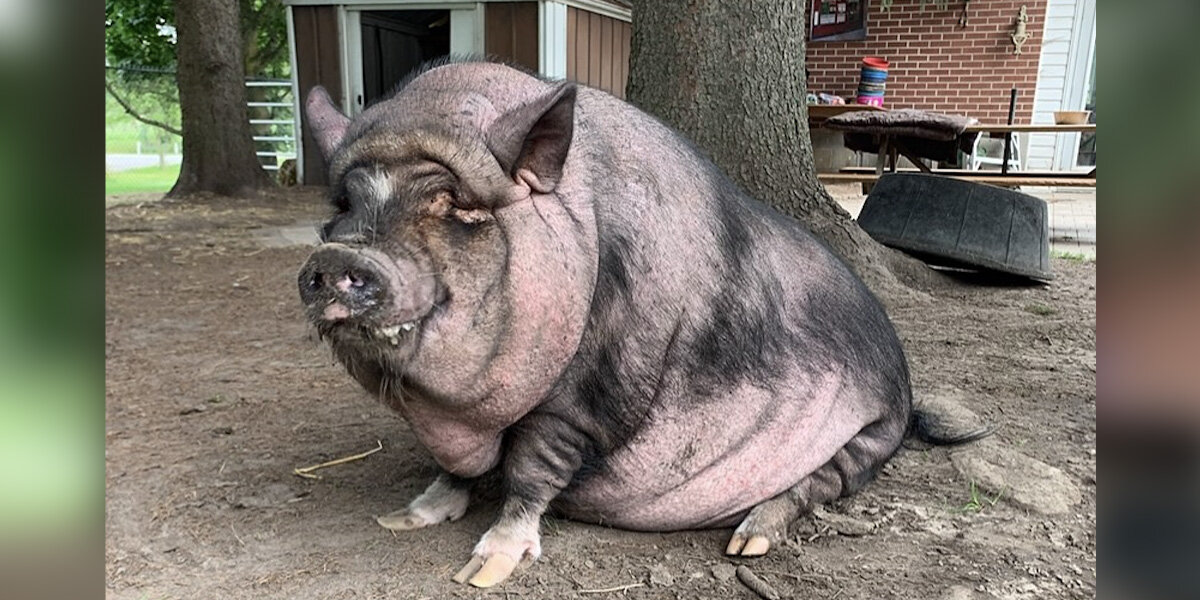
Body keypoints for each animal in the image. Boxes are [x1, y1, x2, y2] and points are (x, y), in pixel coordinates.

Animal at [297, 58, 977, 588]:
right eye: (344, 203)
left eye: (457, 204)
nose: (339, 258)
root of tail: (907, 390)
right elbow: (452, 471)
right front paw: (401, 520)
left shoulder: (588, 396)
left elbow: (530, 470)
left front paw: (481, 573)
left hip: (871, 433)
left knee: (821, 484)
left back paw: (747, 542)